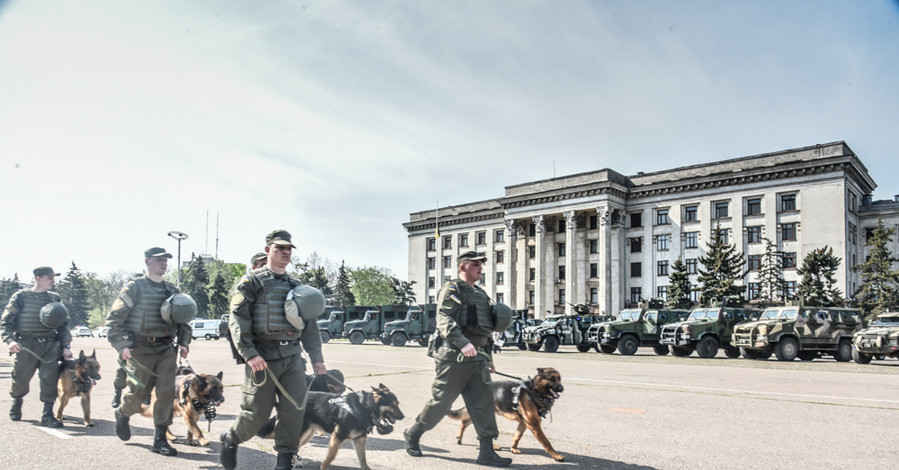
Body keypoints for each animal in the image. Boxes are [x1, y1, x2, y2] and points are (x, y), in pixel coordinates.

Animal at [256, 384, 404, 468]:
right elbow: (331, 457)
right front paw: (324, 467)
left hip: (307, 435)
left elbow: (363, 459)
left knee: (293, 448)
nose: (403, 417)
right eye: (393, 405)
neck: (366, 407)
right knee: (288, 447)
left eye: (398, 404)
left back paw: (296, 462)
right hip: (301, 433)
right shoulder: (337, 436)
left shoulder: (359, 440)